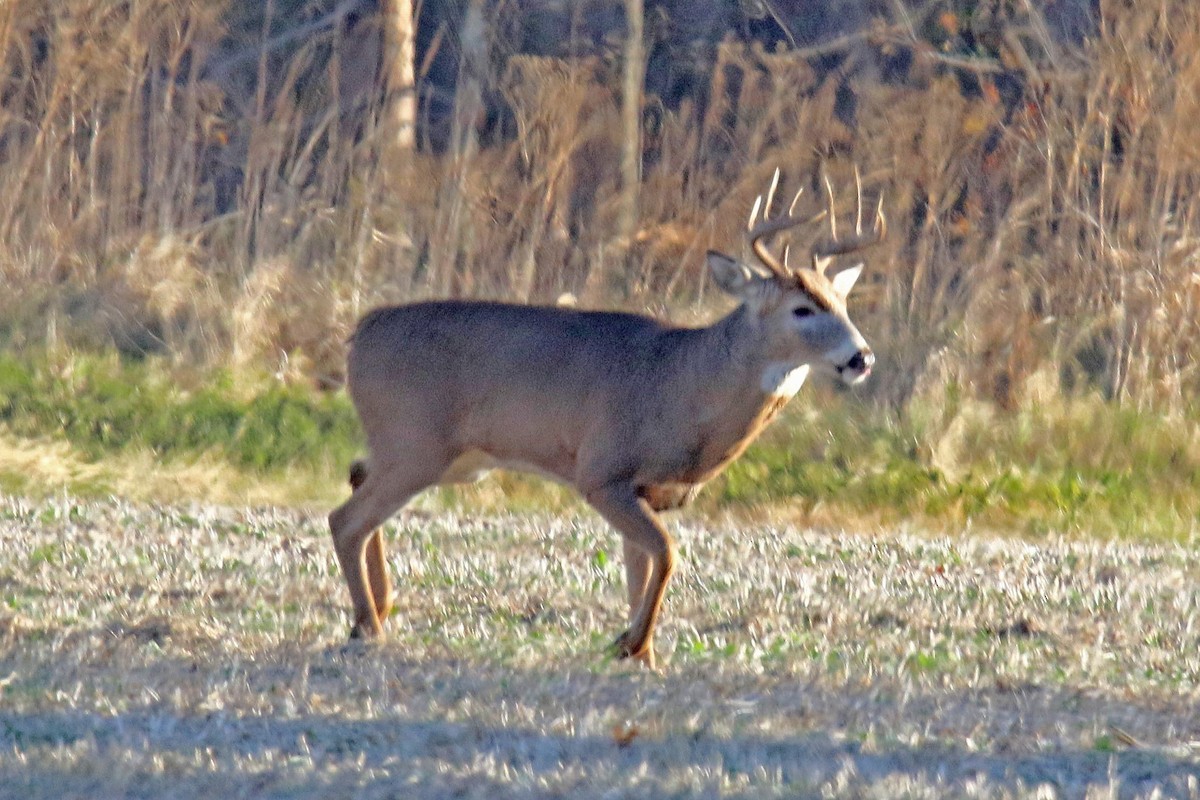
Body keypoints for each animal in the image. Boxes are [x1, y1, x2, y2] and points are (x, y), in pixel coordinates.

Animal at [328, 169, 885, 669]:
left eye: (842, 302)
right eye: (801, 309)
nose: (860, 357)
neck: (684, 385)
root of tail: (359, 333)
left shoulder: (648, 492)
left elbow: (643, 568)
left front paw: (644, 655)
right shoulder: (602, 472)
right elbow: (667, 553)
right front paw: (629, 644)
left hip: (443, 456)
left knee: (356, 478)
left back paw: (376, 611)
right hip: (415, 442)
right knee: (345, 520)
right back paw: (369, 626)